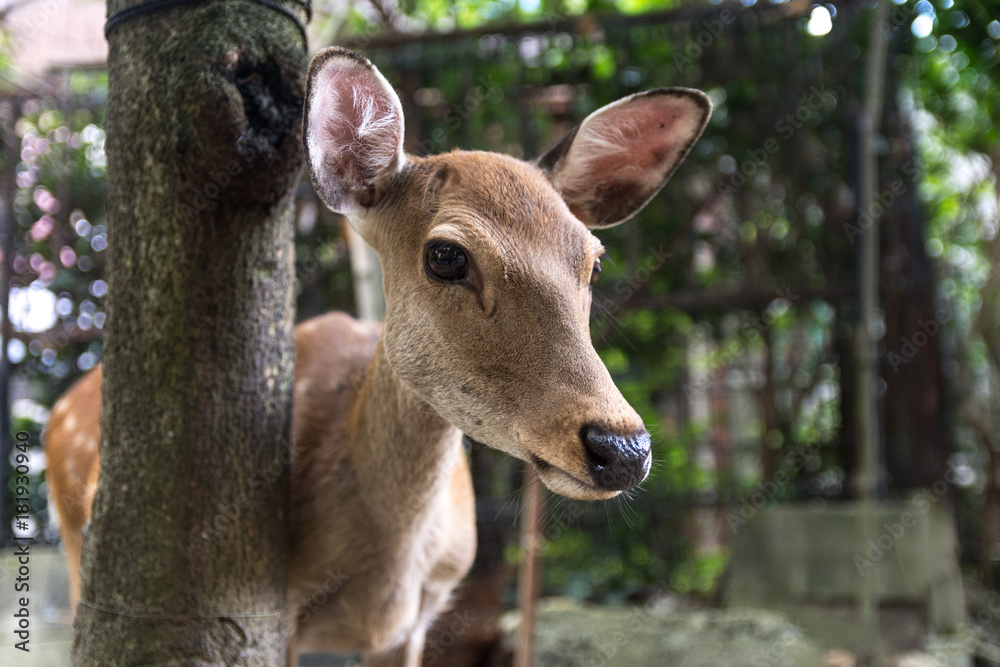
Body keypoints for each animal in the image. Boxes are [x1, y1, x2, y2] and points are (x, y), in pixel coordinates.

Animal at [43, 47, 708, 667]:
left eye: (594, 261)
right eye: (446, 255)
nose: (622, 448)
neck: (386, 573)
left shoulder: (419, 619)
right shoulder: (276, 616)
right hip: (77, 557)